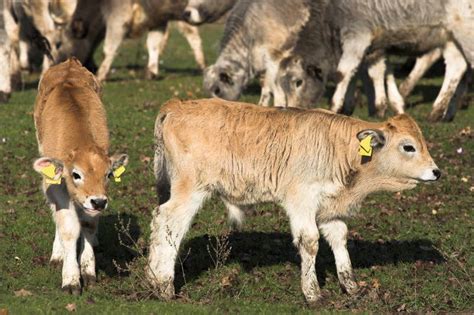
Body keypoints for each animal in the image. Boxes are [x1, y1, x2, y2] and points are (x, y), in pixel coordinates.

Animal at [32, 58, 129, 296]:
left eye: (108, 174)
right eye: (75, 174)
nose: (99, 202)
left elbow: (87, 225)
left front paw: (88, 270)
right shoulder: (56, 186)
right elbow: (69, 229)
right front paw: (71, 278)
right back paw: (57, 253)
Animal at [147, 99, 440, 306]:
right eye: (408, 147)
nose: (436, 172)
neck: (340, 149)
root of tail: (177, 105)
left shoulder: (329, 208)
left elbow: (339, 239)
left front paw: (352, 287)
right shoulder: (302, 201)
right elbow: (310, 242)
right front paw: (312, 293)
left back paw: (151, 279)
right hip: (190, 191)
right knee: (168, 224)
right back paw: (164, 286)